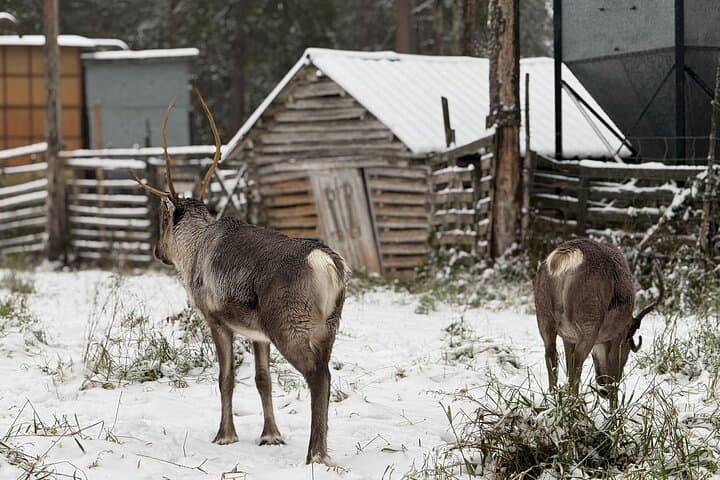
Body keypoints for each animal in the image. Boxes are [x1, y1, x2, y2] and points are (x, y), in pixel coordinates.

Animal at [131, 90, 348, 465]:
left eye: (162, 222)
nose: (157, 251)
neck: (193, 251)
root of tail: (326, 263)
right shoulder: (257, 333)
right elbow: (263, 379)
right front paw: (270, 435)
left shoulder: (216, 319)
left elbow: (226, 378)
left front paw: (224, 435)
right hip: (328, 328)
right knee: (326, 373)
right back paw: (321, 451)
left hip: (290, 325)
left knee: (317, 376)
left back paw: (315, 454)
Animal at [534, 238, 663, 407]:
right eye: (628, 348)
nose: (602, 390)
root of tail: (563, 260)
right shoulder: (617, 336)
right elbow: (613, 377)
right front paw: (614, 409)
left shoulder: (568, 338)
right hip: (588, 323)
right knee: (577, 361)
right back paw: (575, 404)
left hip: (544, 318)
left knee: (552, 355)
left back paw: (554, 400)